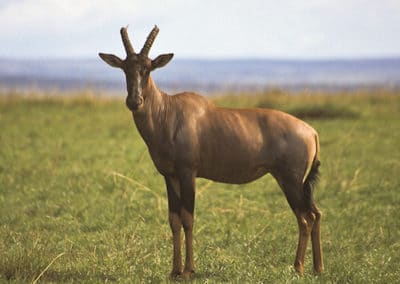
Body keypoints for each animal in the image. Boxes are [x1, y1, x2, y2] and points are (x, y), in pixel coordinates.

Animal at [98, 25, 324, 278]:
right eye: (125, 68)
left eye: (147, 68)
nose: (134, 101)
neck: (168, 112)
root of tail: (311, 132)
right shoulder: (170, 175)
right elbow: (174, 219)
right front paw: (174, 271)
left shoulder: (188, 173)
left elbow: (188, 218)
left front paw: (188, 270)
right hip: (299, 184)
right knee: (316, 214)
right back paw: (318, 268)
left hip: (291, 180)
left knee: (305, 218)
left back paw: (298, 267)